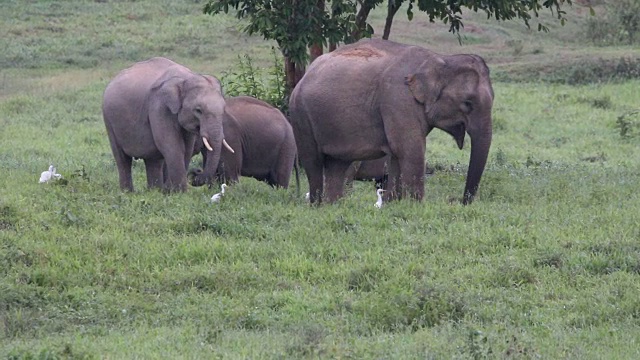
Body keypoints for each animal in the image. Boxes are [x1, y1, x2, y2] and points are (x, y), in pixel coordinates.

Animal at [102, 57, 235, 191]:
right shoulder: (159, 106)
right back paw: (128, 192)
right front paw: (179, 192)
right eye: (198, 110)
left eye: (223, 109)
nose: (196, 173)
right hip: (109, 120)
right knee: (122, 158)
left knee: (153, 159)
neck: (186, 78)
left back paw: (155, 191)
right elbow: (171, 144)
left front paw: (170, 191)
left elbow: (186, 148)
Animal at [290, 38, 496, 205]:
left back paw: (333, 206)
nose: (460, 201)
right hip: (300, 116)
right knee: (313, 163)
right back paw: (317, 205)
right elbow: (410, 150)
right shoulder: (397, 99)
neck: (441, 59)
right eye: (468, 103)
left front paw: (394, 204)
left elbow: (398, 154)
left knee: (337, 165)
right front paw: (415, 207)